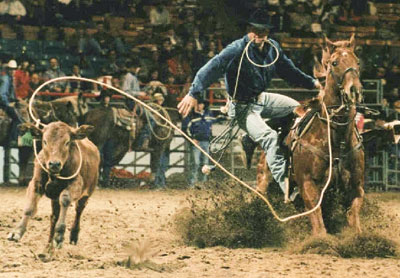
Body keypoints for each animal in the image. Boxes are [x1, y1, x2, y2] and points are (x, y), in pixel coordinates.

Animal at [255, 33, 364, 236]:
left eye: (358, 62)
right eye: (334, 63)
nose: (354, 90)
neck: (336, 139)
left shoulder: (356, 187)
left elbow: (354, 219)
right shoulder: (307, 184)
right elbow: (318, 223)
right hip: (264, 181)